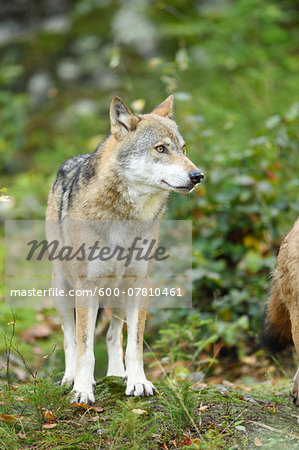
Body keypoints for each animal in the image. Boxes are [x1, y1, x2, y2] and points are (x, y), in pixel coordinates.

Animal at [45, 95, 205, 404]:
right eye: (160, 149)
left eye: (183, 148)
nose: (198, 175)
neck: (124, 219)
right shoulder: (86, 286)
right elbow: (84, 348)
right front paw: (83, 389)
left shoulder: (140, 283)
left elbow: (134, 345)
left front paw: (138, 382)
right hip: (63, 289)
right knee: (69, 337)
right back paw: (70, 378)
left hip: (117, 292)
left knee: (112, 335)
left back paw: (118, 375)